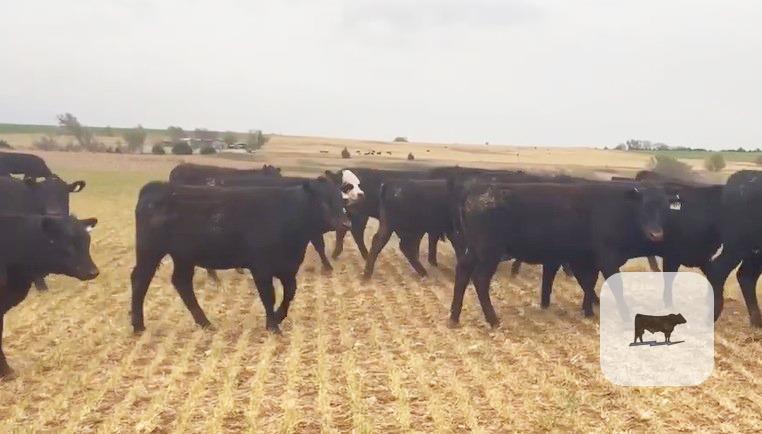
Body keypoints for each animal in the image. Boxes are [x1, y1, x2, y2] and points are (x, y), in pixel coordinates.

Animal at [130, 178, 349, 333]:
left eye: (341, 200)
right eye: (324, 202)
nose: (346, 223)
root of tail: (156, 187)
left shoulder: (288, 267)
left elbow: (289, 293)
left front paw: (278, 317)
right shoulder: (261, 268)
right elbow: (268, 296)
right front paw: (272, 325)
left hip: (183, 256)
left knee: (181, 282)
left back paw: (205, 322)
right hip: (149, 251)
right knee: (140, 279)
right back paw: (138, 324)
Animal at [448, 181, 679, 327]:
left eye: (665, 208)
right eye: (644, 206)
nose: (656, 234)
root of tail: (478, 191)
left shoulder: (587, 259)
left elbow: (588, 284)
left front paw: (588, 311)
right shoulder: (607, 258)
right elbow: (614, 287)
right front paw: (625, 316)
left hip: (474, 249)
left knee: (463, 272)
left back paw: (454, 317)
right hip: (489, 251)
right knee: (480, 279)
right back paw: (493, 319)